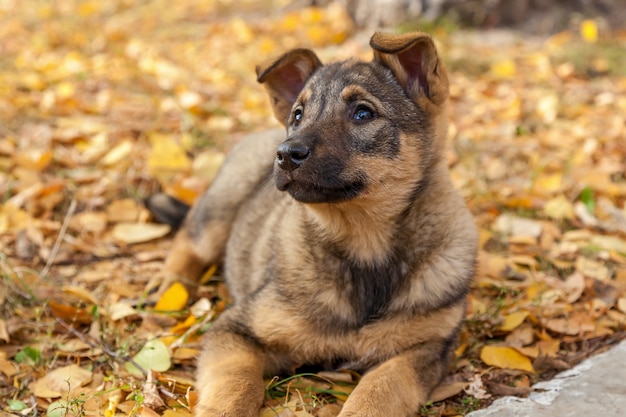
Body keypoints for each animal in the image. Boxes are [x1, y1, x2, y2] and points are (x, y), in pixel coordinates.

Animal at [154, 30, 476, 414]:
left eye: (363, 113)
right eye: (298, 115)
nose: (285, 154)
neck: (364, 244)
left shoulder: (425, 348)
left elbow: (381, 388)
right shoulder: (239, 327)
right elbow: (236, 382)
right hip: (220, 209)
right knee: (189, 240)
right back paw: (171, 287)